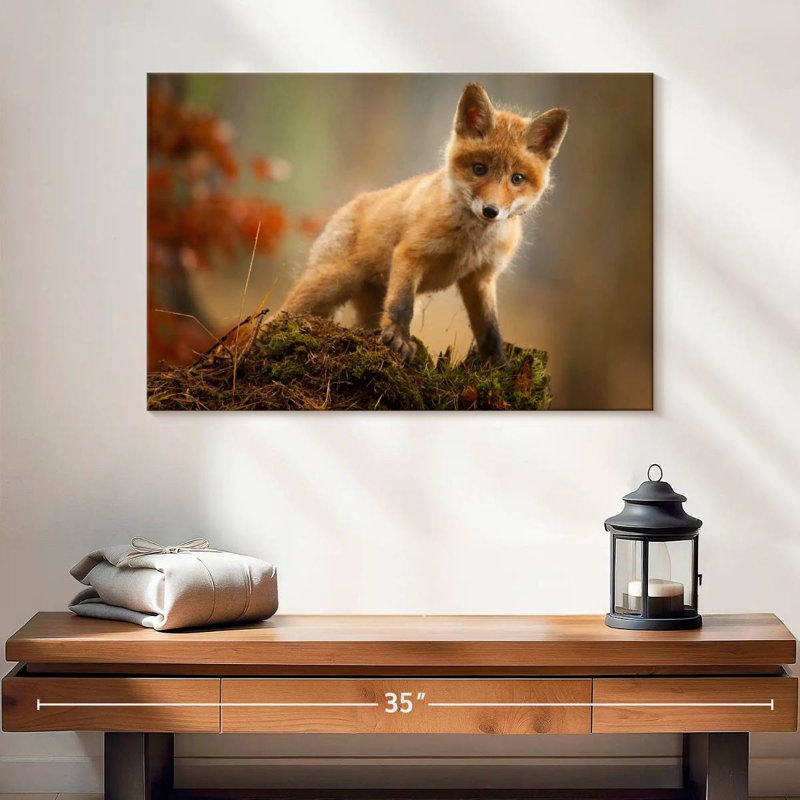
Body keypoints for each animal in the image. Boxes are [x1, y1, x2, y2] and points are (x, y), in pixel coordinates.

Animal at [280, 83, 568, 364]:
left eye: (517, 178)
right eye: (479, 169)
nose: (490, 211)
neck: (471, 242)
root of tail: (350, 203)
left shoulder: (481, 278)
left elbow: (490, 330)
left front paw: (497, 366)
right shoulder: (411, 253)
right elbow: (401, 305)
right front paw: (399, 339)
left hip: (367, 305)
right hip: (328, 284)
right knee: (280, 315)